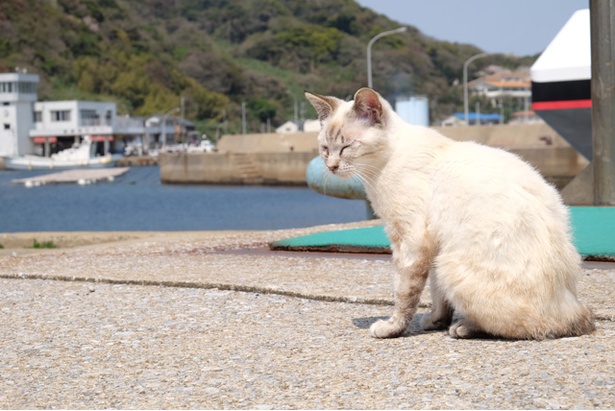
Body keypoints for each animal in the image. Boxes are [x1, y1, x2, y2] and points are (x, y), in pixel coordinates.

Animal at [306, 87, 596, 342]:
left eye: (346, 147)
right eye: (325, 149)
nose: (331, 167)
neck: (379, 169)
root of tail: (574, 310)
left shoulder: (410, 242)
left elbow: (404, 294)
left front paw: (392, 328)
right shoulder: (432, 246)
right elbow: (437, 296)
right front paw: (436, 321)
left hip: (450, 263)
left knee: (527, 327)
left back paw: (464, 328)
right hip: (445, 257)